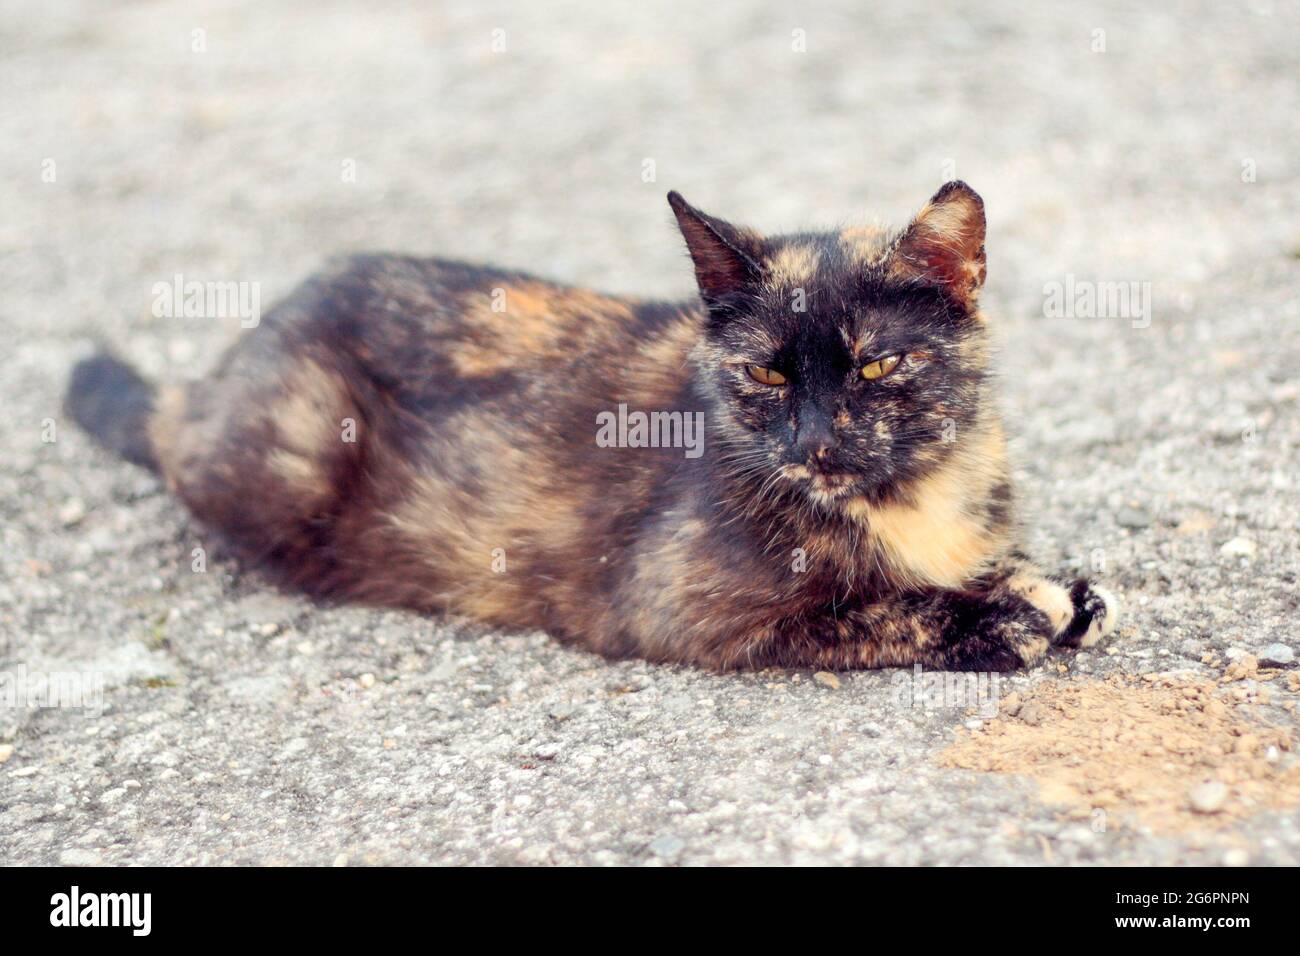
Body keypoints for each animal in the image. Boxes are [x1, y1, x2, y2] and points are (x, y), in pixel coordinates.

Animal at [65, 180, 1118, 671]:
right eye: (766, 372)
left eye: (877, 364)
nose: (815, 443)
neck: (914, 497)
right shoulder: (690, 608)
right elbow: (883, 608)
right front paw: (1002, 615)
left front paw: (1045, 584)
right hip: (291, 454)